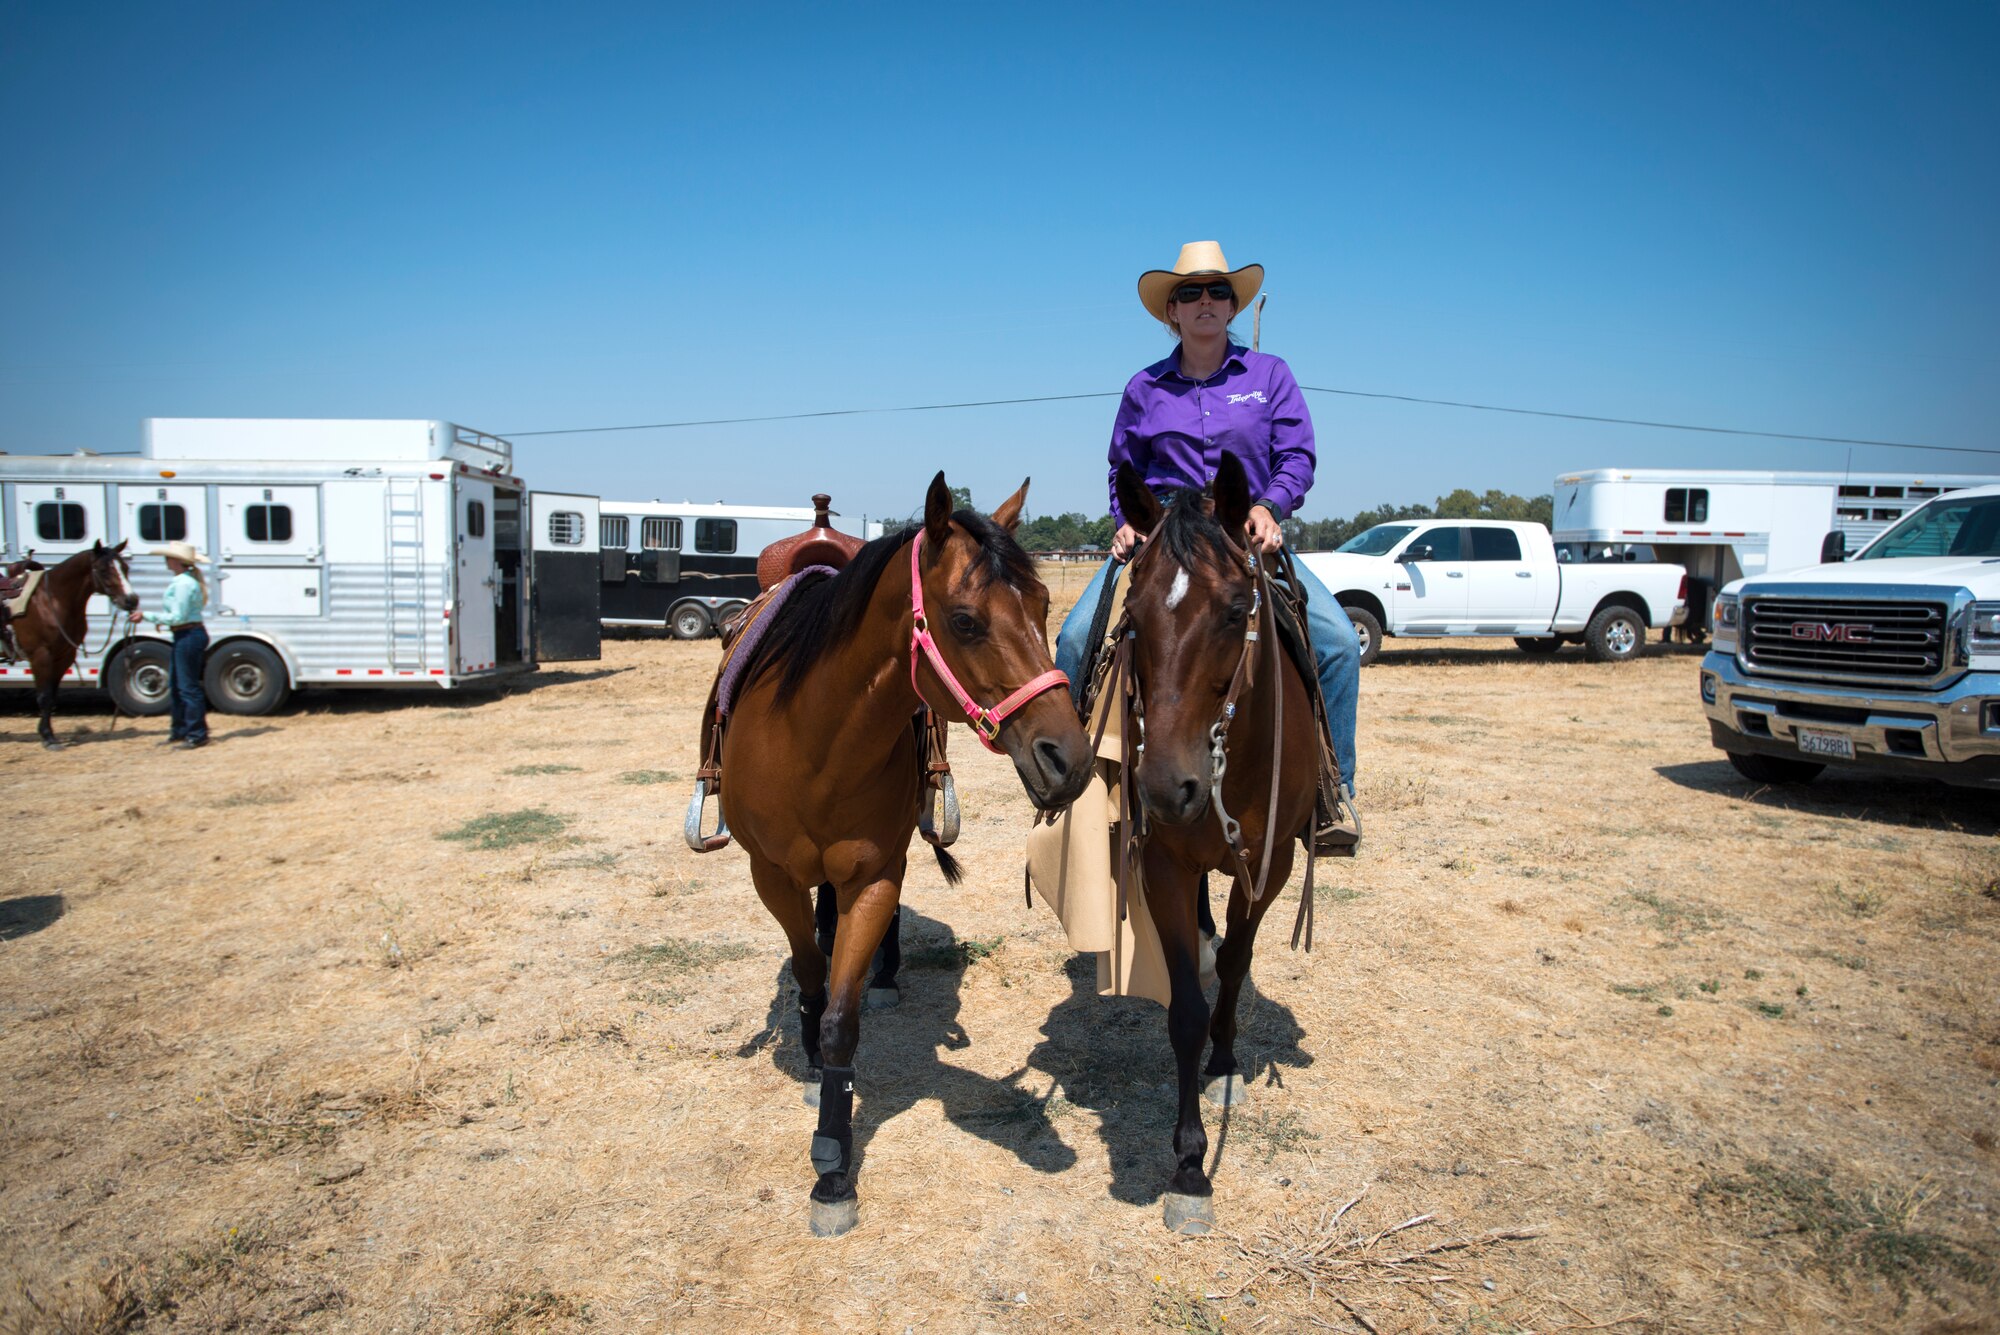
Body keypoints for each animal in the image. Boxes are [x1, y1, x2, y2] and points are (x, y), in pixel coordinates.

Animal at [4, 543, 138, 751]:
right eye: (103, 570)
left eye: (125, 567)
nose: (131, 600)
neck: (51, 601)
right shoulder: (40, 656)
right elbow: (44, 697)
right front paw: (48, 738)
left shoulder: (63, 656)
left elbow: (51, 697)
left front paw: (48, 734)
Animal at [720, 473, 1096, 1239]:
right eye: (966, 620)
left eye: (1044, 606)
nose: (1068, 760)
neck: (814, 740)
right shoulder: (771, 877)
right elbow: (812, 978)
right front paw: (812, 1068)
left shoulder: (873, 874)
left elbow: (843, 1017)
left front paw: (832, 1168)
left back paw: (887, 975)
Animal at [1104, 453, 1320, 1239]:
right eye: (1133, 618)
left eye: (1234, 610)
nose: (1170, 786)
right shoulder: (1166, 863)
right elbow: (1186, 1010)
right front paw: (1191, 1163)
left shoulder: (1272, 863)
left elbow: (1235, 964)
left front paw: (1225, 1063)